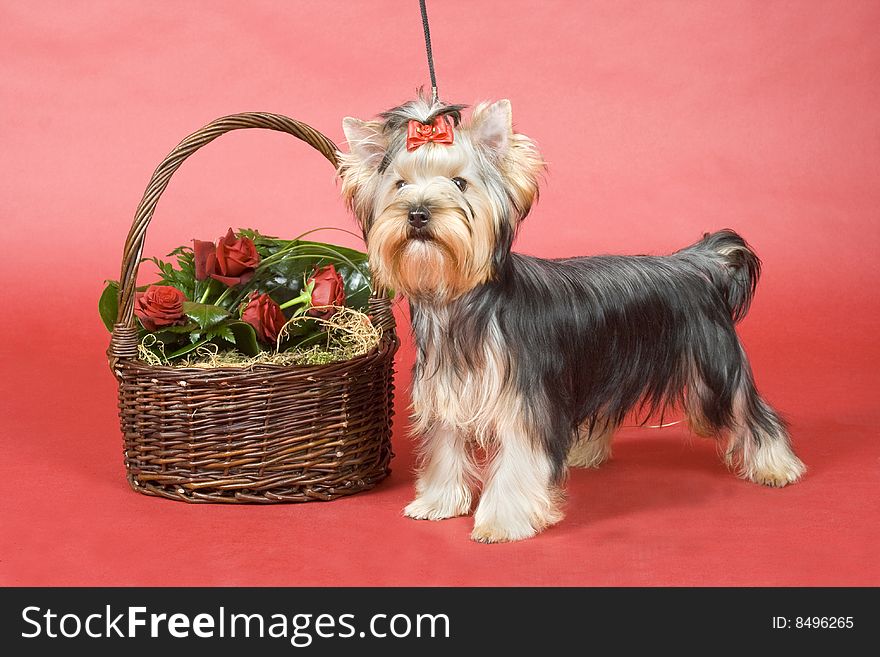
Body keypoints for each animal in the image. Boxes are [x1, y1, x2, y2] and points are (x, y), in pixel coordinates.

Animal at [336, 95, 804, 540]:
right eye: (400, 184)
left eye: (459, 183)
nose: (417, 212)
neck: (459, 302)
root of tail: (696, 263)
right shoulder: (446, 394)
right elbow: (444, 448)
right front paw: (437, 502)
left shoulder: (524, 405)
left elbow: (517, 463)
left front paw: (501, 522)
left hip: (713, 370)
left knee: (748, 410)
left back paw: (778, 465)